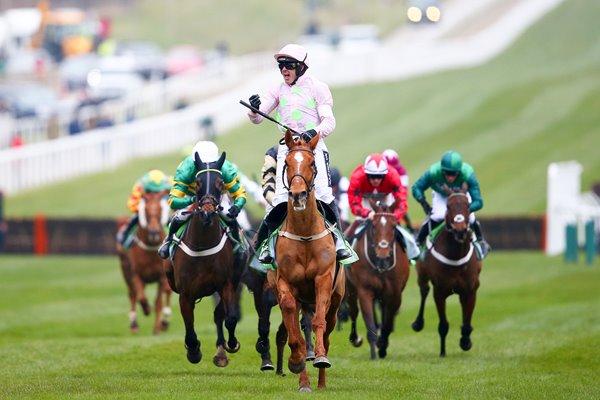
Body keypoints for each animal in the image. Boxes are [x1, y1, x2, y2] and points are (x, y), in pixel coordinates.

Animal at [117, 191, 172, 334]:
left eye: (160, 209)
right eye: (146, 210)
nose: (154, 232)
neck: (151, 249)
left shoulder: (161, 276)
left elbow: (158, 303)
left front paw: (157, 328)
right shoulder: (136, 274)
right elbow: (141, 297)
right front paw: (147, 309)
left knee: (167, 292)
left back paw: (164, 322)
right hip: (125, 269)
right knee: (132, 294)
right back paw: (134, 324)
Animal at [164, 152, 246, 368]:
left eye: (220, 183)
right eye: (198, 182)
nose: (208, 212)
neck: (202, 246)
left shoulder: (226, 284)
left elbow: (230, 318)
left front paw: (231, 344)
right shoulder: (185, 293)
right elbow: (189, 326)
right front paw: (193, 351)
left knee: (219, 315)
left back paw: (221, 352)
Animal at [266, 130, 344, 390]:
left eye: (311, 163)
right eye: (288, 164)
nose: (298, 194)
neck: (304, 234)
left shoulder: (323, 279)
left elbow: (318, 322)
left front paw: (319, 358)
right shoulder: (285, 283)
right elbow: (294, 330)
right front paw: (297, 361)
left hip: (337, 299)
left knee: (327, 331)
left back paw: (321, 381)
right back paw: (305, 381)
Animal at [344, 197, 410, 360]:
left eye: (394, 226)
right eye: (373, 225)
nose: (383, 258)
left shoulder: (395, 293)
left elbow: (387, 323)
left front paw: (383, 345)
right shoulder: (365, 290)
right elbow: (370, 324)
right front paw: (374, 352)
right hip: (350, 288)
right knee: (353, 311)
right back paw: (355, 339)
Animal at [412, 186, 482, 358]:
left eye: (468, 206)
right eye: (448, 206)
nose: (460, 230)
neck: (455, 255)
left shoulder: (471, 290)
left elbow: (466, 322)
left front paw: (465, 341)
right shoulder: (440, 291)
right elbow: (443, 325)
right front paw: (443, 351)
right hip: (422, 275)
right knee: (424, 291)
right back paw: (418, 323)